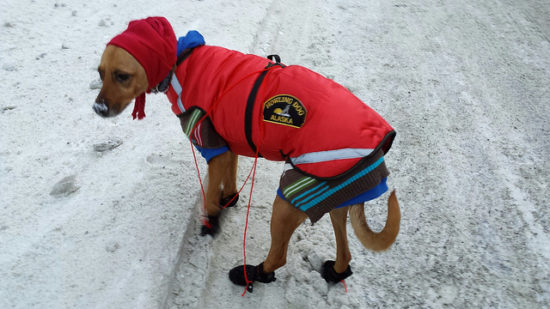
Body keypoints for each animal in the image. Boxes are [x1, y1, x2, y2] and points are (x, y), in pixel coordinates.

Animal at [95, 18, 402, 290]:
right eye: (100, 73)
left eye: (122, 76)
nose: (97, 109)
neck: (182, 62)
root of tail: (378, 151)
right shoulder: (228, 148)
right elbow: (228, 182)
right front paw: (229, 200)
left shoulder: (213, 149)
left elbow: (209, 197)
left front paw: (212, 223)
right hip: (336, 203)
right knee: (345, 253)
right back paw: (335, 272)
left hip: (289, 200)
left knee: (279, 257)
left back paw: (253, 274)